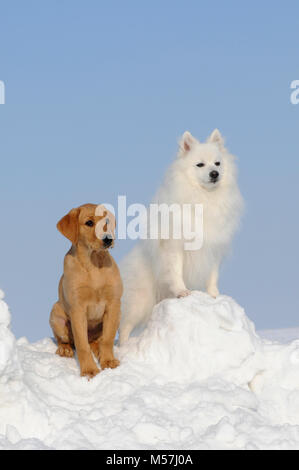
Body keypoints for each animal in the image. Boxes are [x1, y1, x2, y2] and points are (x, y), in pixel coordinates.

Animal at [119, 130, 244, 344]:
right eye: (200, 164)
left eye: (217, 163)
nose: (214, 174)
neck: (204, 198)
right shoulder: (175, 246)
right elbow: (176, 272)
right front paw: (182, 292)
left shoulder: (214, 249)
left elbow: (212, 276)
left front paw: (214, 296)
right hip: (140, 302)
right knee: (124, 328)